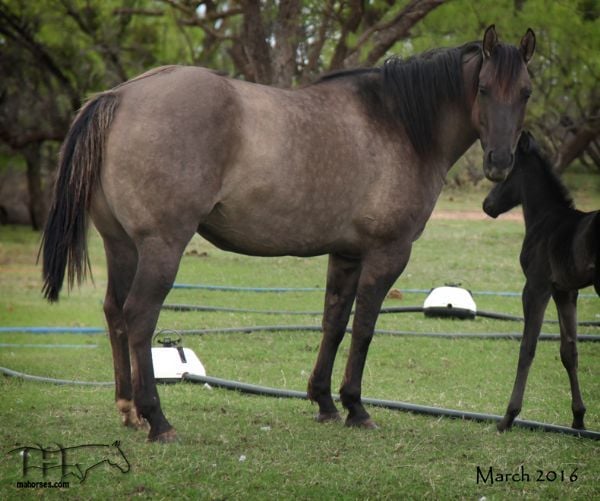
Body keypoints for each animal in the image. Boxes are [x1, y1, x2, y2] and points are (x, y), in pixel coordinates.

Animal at [486, 131, 596, 432]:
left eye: (506, 175)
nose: (486, 205)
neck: (545, 218)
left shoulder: (536, 287)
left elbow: (527, 348)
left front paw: (508, 417)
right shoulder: (565, 292)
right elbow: (569, 351)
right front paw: (578, 419)